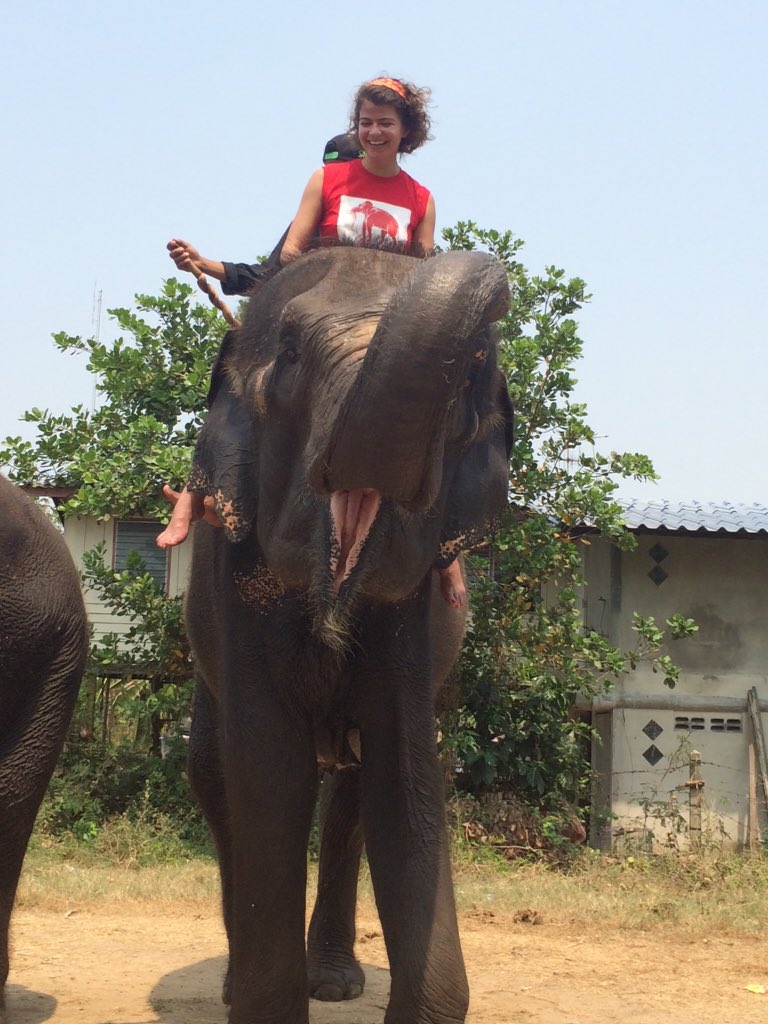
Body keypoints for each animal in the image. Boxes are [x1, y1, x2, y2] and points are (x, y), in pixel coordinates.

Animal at [183, 243, 513, 1024]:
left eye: (468, 382)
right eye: (291, 353)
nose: (479, 338)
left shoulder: (414, 613)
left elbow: (406, 782)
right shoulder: (233, 581)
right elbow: (270, 777)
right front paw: (258, 998)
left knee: (353, 790)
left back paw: (333, 982)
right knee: (213, 773)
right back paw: (237, 982)